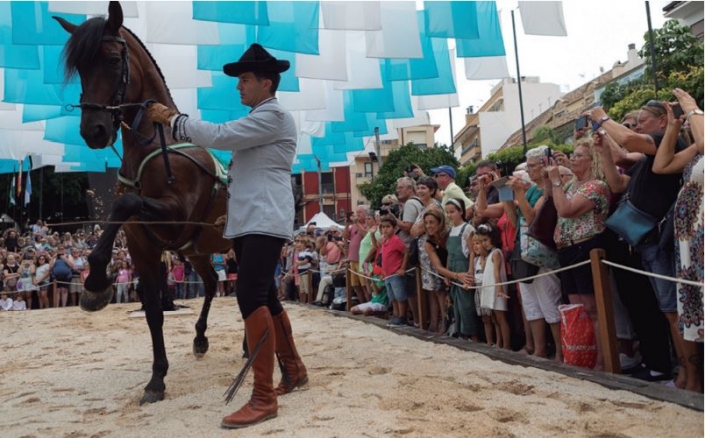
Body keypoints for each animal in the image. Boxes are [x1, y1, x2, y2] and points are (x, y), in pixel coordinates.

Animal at [55, 2, 231, 404]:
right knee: (211, 283)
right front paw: (157, 378)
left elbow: (125, 205)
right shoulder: (143, 246)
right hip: (198, 250)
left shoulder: (175, 215)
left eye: (112, 60)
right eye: (80, 68)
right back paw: (200, 339)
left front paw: (96, 282)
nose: (93, 131)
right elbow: (153, 312)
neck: (157, 139)